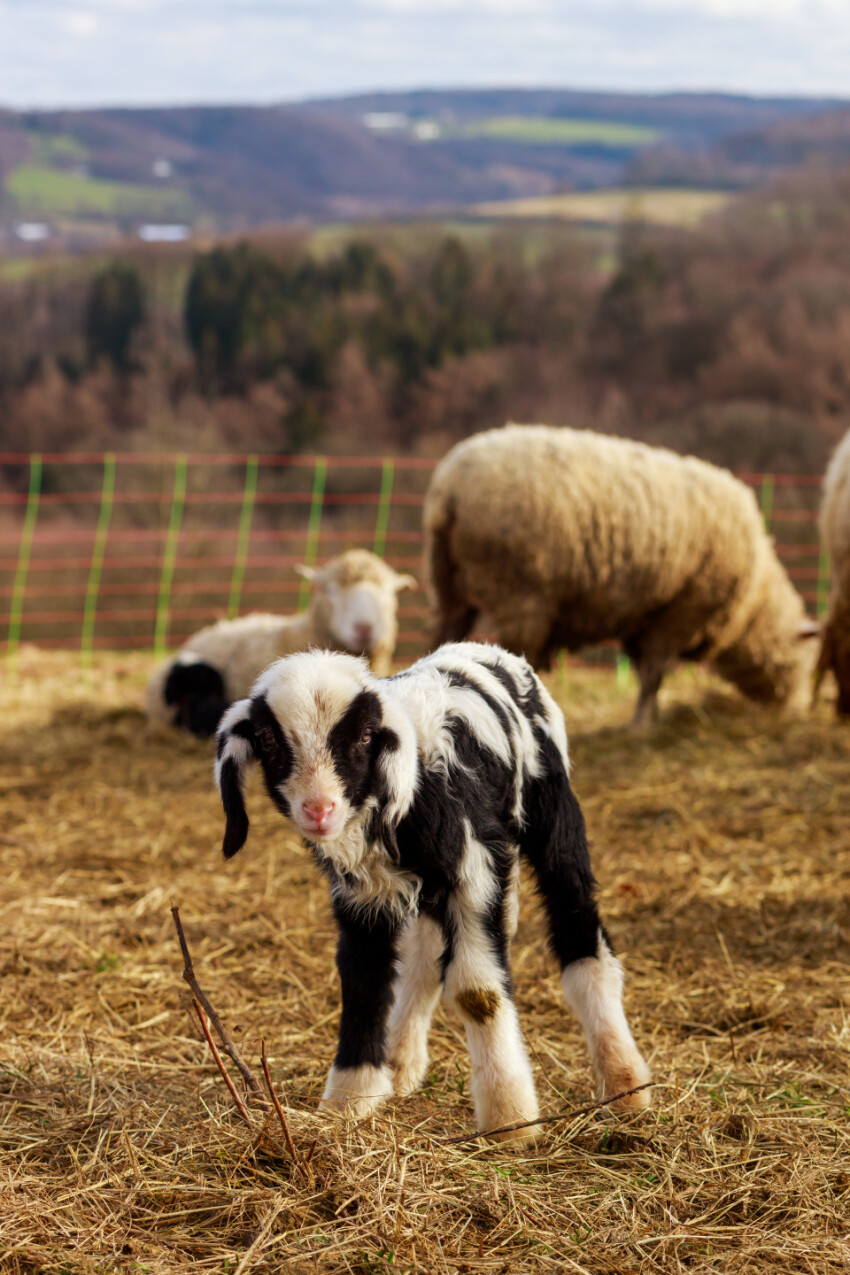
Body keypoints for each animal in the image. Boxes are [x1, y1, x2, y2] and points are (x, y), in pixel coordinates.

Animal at [214, 642, 652, 1142]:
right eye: (268, 740)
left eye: (365, 736)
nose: (319, 810)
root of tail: (495, 652)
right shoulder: (361, 895)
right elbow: (363, 979)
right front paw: (349, 1101)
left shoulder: (477, 872)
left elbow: (477, 992)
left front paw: (509, 1119)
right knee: (424, 959)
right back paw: (401, 1063)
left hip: (554, 816)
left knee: (578, 927)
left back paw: (624, 1081)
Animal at [425, 423, 815, 729]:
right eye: (800, 663)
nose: (794, 711)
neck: (753, 603)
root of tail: (450, 490)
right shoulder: (678, 614)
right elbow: (654, 674)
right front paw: (643, 727)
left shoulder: (644, 618)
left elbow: (645, 673)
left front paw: (651, 717)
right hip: (521, 595)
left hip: (448, 585)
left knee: (439, 643)